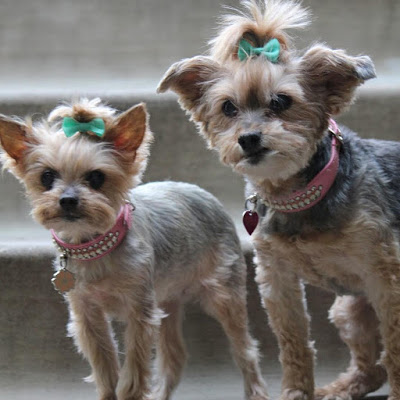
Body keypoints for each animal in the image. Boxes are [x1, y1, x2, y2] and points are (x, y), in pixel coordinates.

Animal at [0, 98, 268, 400]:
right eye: (47, 177)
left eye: (96, 178)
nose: (67, 200)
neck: (94, 245)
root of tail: (202, 192)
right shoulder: (88, 315)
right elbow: (105, 367)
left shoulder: (140, 312)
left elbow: (134, 370)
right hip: (167, 297)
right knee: (174, 356)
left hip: (224, 295)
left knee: (245, 348)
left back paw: (256, 390)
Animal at [158, 0, 400, 400]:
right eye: (228, 108)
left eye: (281, 101)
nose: (249, 138)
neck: (300, 194)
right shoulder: (276, 277)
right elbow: (293, 342)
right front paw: (297, 392)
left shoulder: (386, 278)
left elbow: (395, 348)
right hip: (347, 311)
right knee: (371, 368)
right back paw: (341, 388)